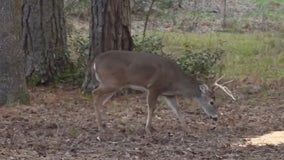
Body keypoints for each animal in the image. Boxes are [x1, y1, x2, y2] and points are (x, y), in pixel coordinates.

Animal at [91, 50, 235, 134]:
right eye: (211, 102)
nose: (215, 117)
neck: (175, 82)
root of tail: (95, 61)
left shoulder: (168, 94)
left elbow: (178, 110)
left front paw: (186, 128)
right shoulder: (154, 87)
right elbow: (151, 107)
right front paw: (148, 129)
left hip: (114, 85)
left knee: (100, 100)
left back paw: (104, 125)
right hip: (111, 82)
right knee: (95, 93)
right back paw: (100, 127)